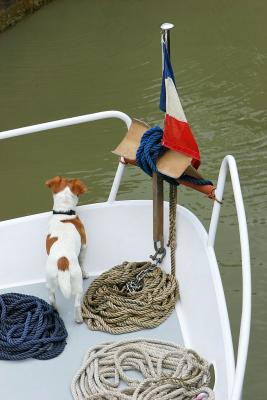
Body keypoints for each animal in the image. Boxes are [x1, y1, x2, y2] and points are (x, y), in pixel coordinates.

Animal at [45, 177, 88, 324]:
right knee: (76, 303)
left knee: (52, 299)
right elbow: (83, 261)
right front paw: (86, 273)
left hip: (50, 281)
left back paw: (56, 311)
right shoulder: (84, 245)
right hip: (77, 283)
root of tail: (62, 261)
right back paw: (79, 318)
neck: (63, 213)